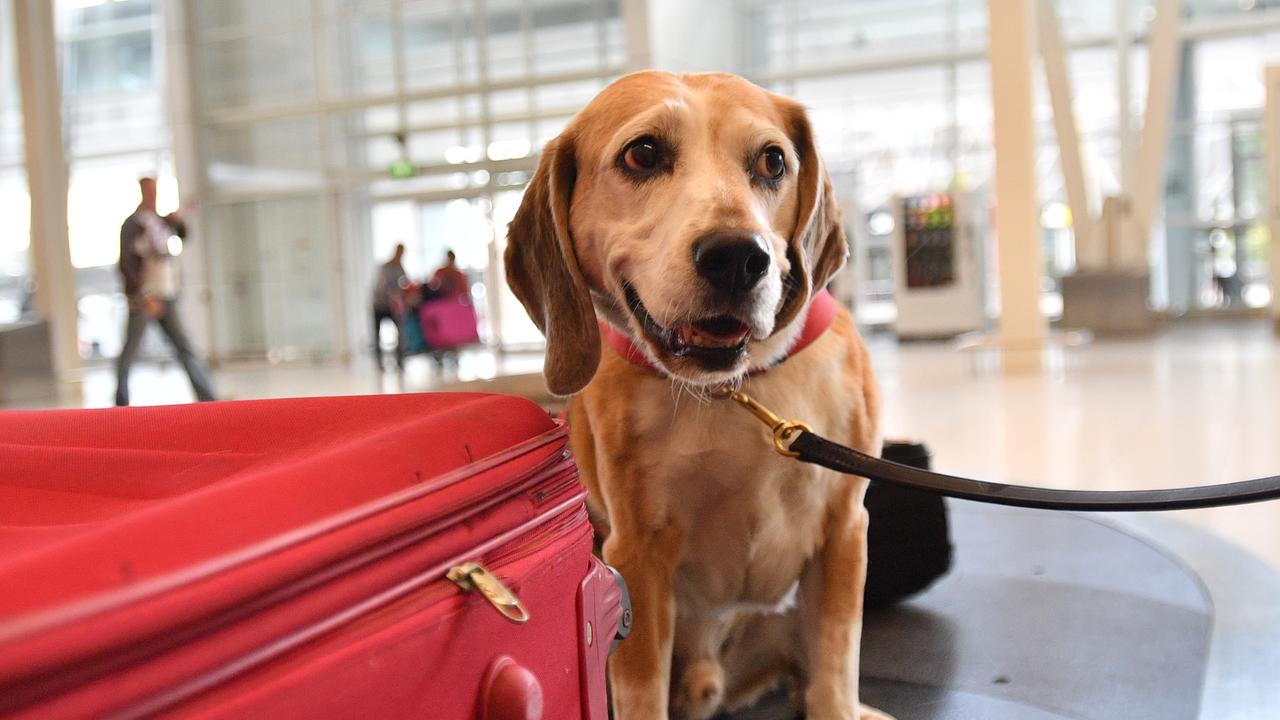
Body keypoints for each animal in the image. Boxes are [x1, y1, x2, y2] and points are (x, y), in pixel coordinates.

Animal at [504, 68, 885, 717]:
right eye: (643, 153)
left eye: (773, 161)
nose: (738, 256)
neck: (733, 390)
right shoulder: (636, 557)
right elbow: (641, 695)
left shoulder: (845, 533)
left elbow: (835, 680)